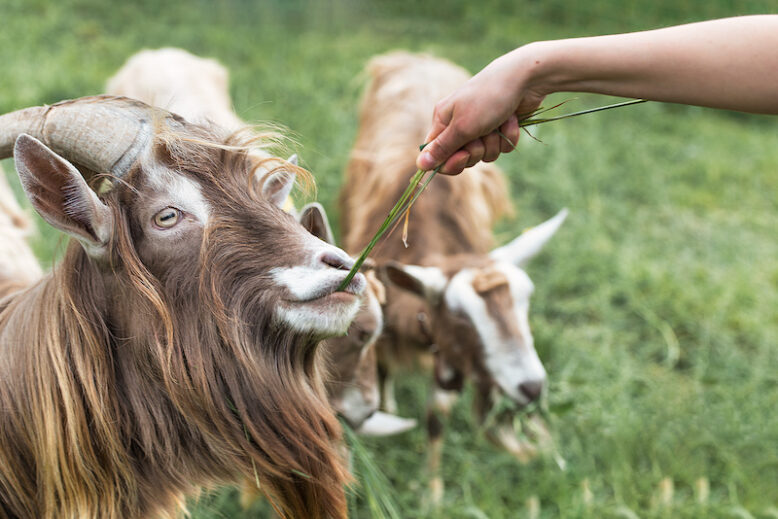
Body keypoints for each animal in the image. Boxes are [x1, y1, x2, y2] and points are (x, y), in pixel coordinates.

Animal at [340, 52, 564, 504]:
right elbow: (383, 367)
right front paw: (387, 404)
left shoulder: (448, 355)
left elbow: (436, 417)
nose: (531, 388)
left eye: (526, 301)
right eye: (460, 316)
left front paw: (432, 492)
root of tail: (418, 56)